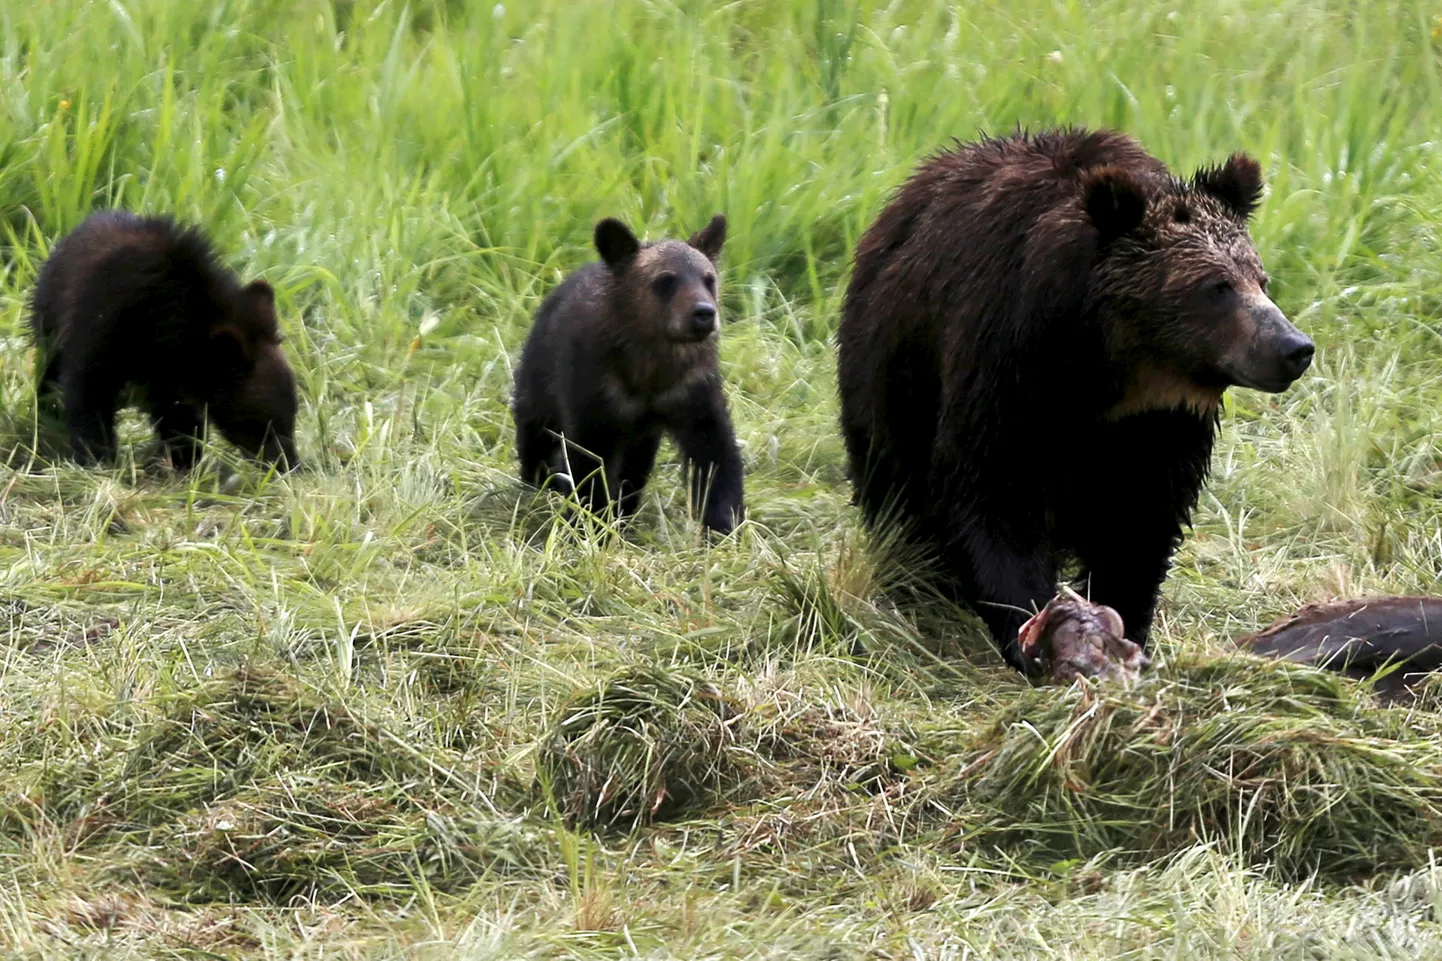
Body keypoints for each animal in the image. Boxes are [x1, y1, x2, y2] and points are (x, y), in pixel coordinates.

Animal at [33, 212, 301, 470]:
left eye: (293, 416)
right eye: (260, 424)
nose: (290, 465)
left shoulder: (170, 370)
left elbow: (178, 415)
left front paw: (182, 459)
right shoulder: (103, 326)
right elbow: (88, 391)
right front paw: (97, 458)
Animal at [513, 213, 744, 533]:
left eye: (709, 279)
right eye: (665, 280)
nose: (704, 313)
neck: (649, 370)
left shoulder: (691, 391)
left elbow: (716, 453)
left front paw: (724, 524)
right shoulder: (594, 390)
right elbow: (590, 459)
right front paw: (591, 522)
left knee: (635, 466)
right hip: (538, 379)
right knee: (535, 435)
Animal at [836, 126, 1320, 669]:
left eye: (1260, 279)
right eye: (1216, 286)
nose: (1293, 348)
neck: (1105, 370)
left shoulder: (1160, 424)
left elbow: (1140, 520)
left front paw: (1121, 620)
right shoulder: (1004, 366)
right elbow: (994, 496)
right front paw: (1033, 628)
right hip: (891, 376)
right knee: (896, 491)